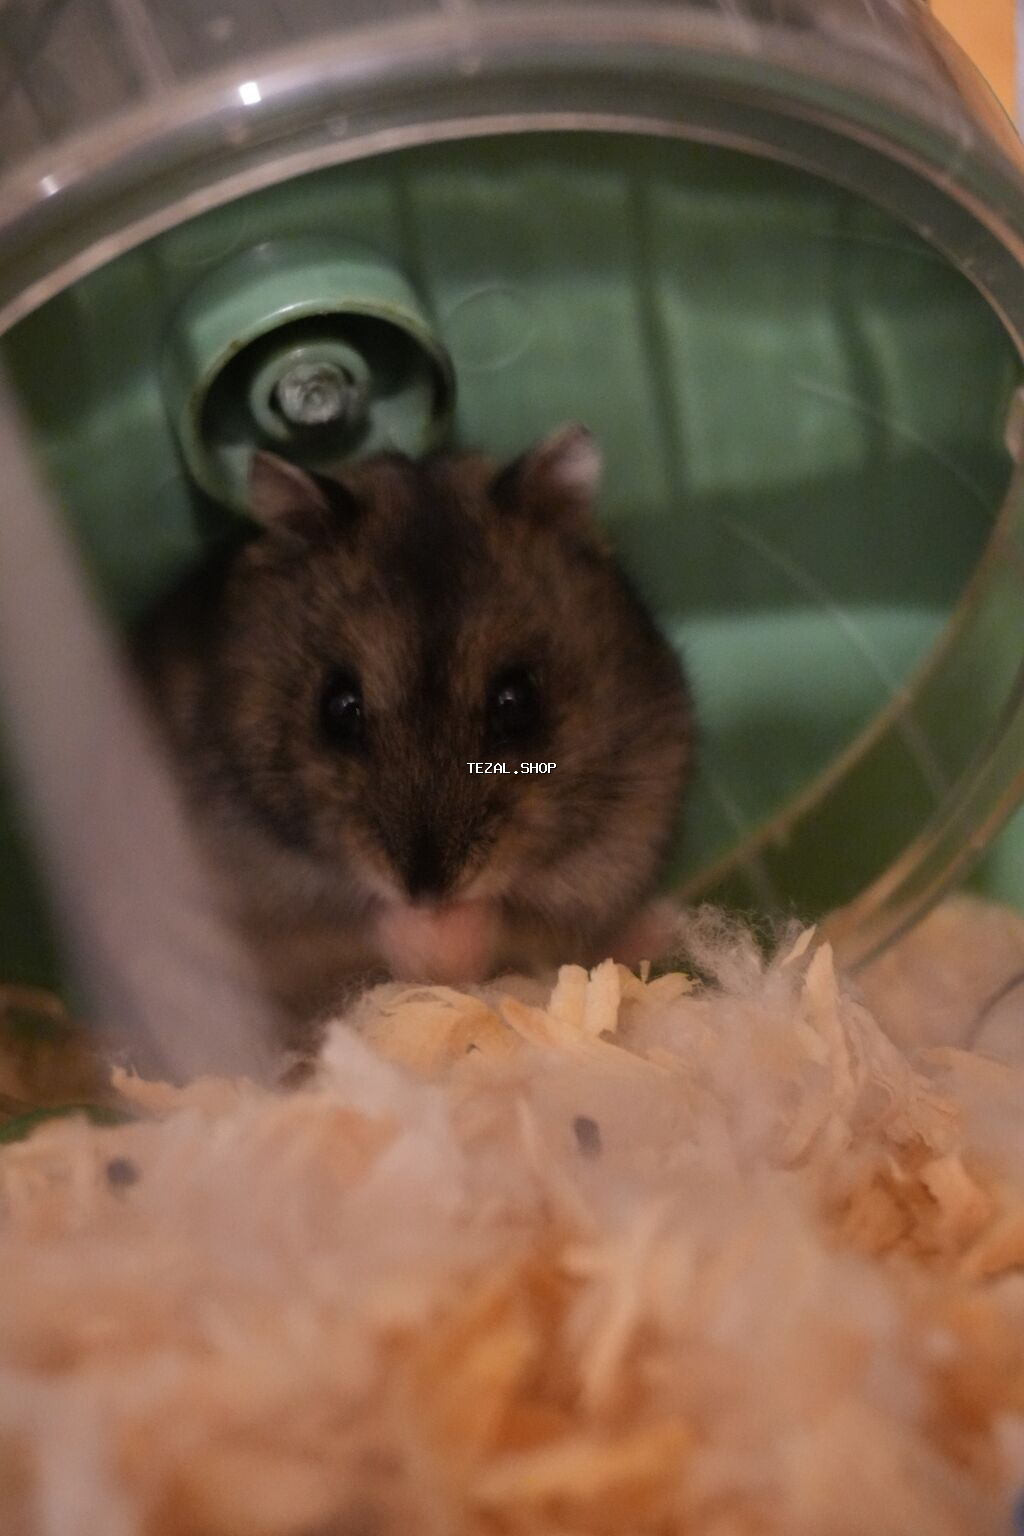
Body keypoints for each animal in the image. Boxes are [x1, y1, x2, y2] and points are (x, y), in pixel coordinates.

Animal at [135, 426, 693, 1041]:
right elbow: (361, 928)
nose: (427, 893)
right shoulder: (271, 901)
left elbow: (516, 919)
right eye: (337, 707)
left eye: (518, 701)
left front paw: (455, 935)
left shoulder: (606, 861)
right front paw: (433, 939)